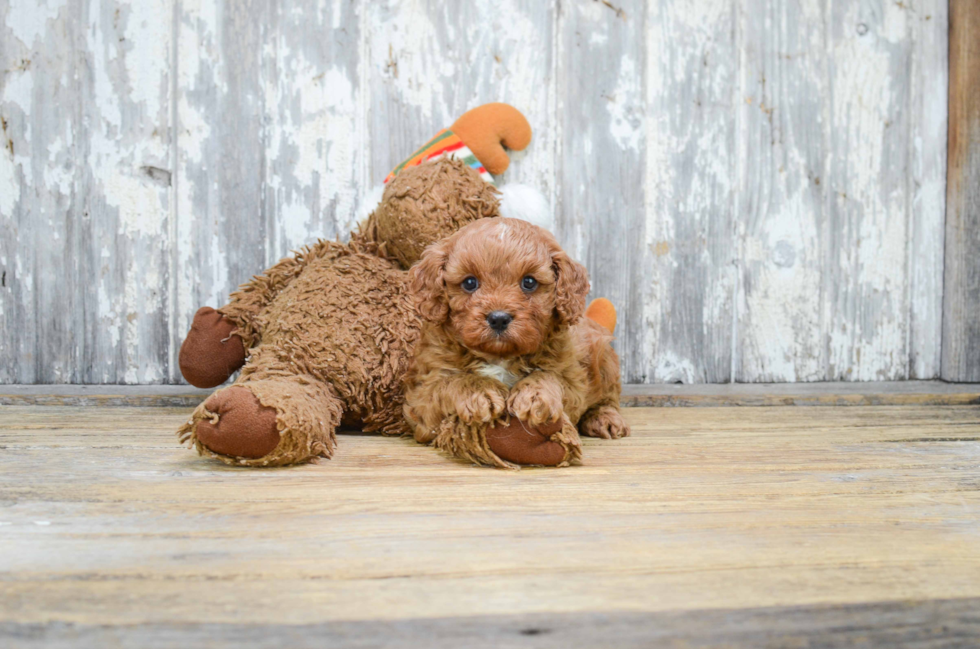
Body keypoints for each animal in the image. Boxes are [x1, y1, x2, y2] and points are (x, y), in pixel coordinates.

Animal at [404, 216, 628, 466]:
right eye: (469, 283)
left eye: (529, 282)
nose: (499, 318)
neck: (500, 355)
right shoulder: (421, 398)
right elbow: (451, 381)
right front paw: (482, 392)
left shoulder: (573, 379)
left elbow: (550, 376)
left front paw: (534, 396)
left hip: (604, 358)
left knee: (608, 396)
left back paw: (605, 419)